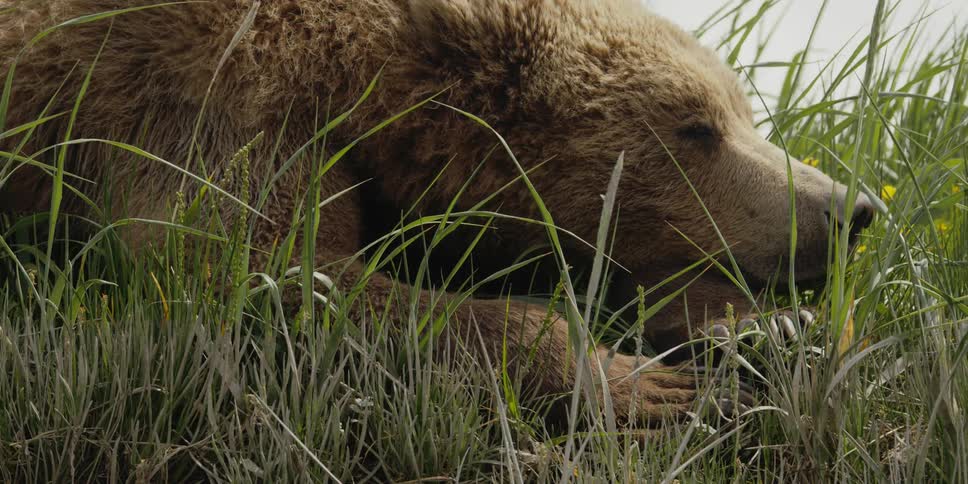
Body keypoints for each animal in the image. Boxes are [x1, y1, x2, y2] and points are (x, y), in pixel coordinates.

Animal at [0, 0, 874, 420]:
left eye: (743, 111)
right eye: (697, 127)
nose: (850, 207)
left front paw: (761, 327)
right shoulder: (210, 103)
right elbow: (256, 268)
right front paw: (636, 381)